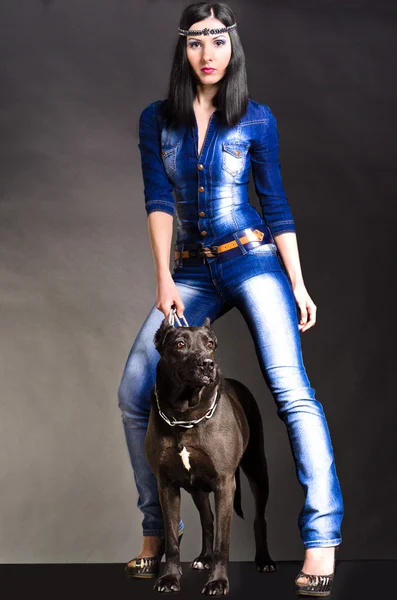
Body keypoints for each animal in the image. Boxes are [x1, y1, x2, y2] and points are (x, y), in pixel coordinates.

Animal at [144, 314, 276, 596]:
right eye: (180, 344)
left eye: (210, 344)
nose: (208, 364)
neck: (184, 413)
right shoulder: (166, 485)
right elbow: (172, 539)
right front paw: (170, 578)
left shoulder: (225, 483)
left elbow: (222, 543)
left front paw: (218, 582)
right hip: (197, 488)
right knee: (207, 519)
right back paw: (203, 558)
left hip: (257, 469)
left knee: (259, 517)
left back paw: (264, 560)